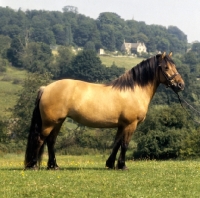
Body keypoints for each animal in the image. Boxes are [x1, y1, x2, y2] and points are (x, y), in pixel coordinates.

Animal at [24, 52, 184, 170]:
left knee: (51, 141)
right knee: (40, 139)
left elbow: (116, 144)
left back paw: (54, 166)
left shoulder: (122, 125)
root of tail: (46, 88)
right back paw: (33, 165)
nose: (180, 85)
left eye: (174, 66)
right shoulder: (130, 124)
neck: (134, 90)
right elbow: (125, 144)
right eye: (166, 67)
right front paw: (122, 166)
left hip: (58, 122)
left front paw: (110, 164)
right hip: (50, 123)